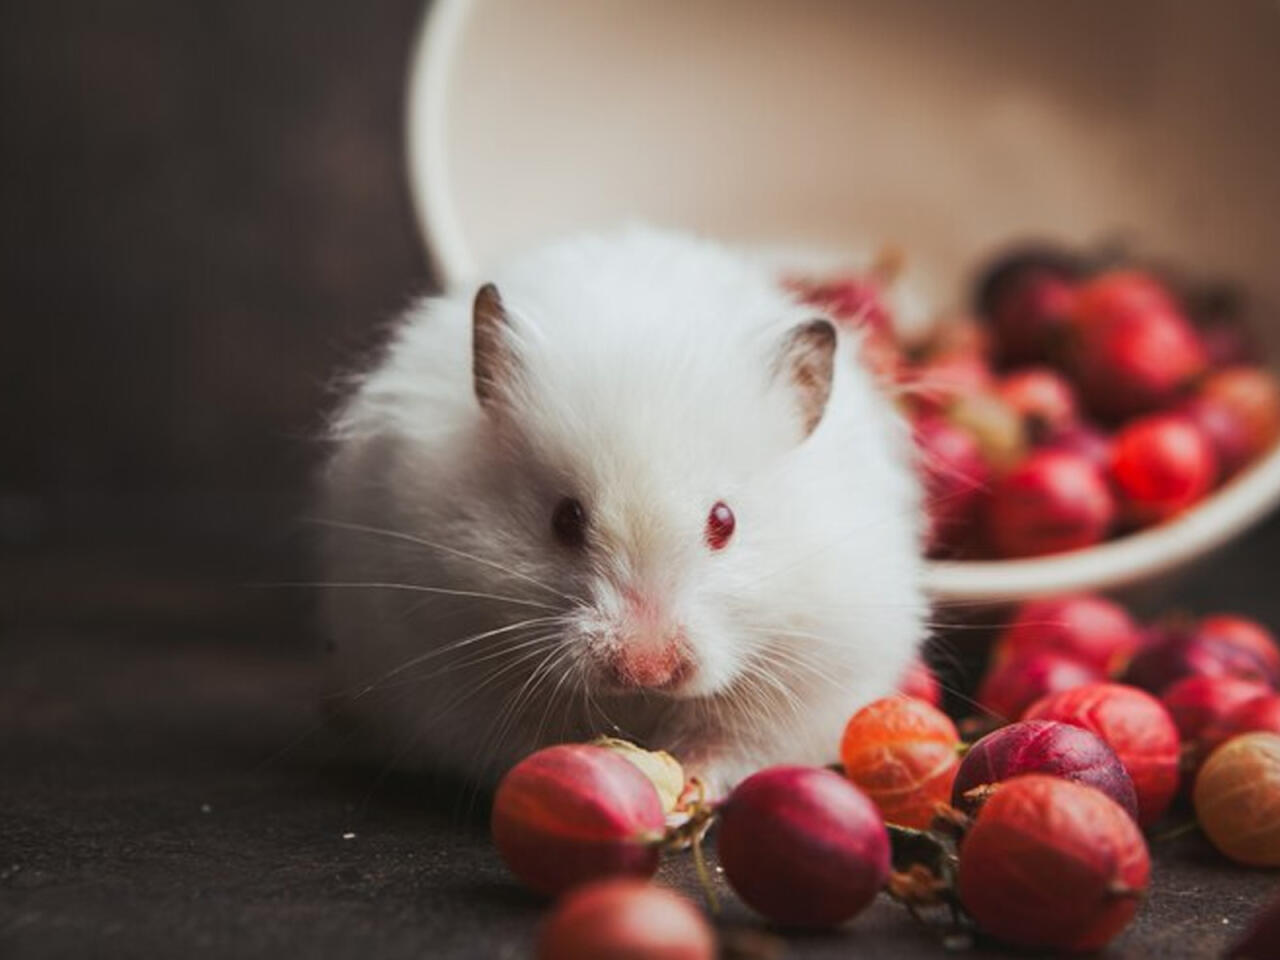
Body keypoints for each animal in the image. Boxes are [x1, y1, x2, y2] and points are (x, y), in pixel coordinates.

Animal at [316, 225, 926, 798]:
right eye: (565, 519)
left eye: (724, 521)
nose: (645, 668)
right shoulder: (442, 658)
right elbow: (528, 740)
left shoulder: (808, 678)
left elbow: (728, 743)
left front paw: (690, 786)